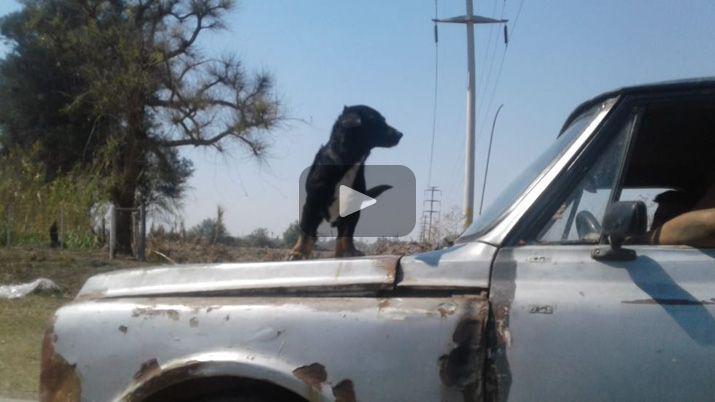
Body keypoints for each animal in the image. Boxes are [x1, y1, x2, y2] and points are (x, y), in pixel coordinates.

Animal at [290, 105, 402, 260]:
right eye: (376, 120)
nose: (400, 134)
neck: (349, 161)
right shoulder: (312, 203)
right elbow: (306, 231)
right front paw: (298, 252)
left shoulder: (353, 209)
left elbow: (347, 234)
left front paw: (351, 251)